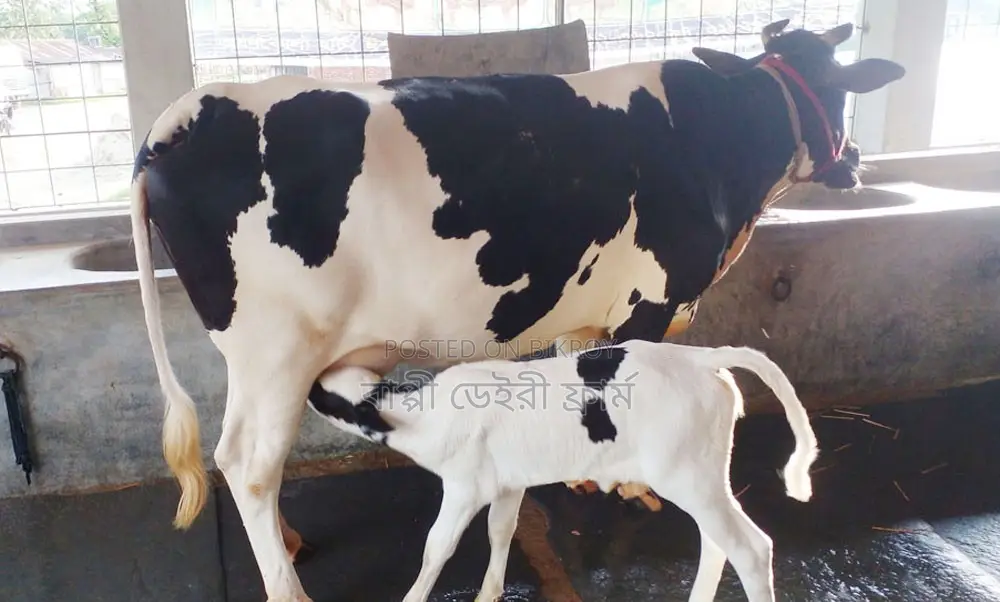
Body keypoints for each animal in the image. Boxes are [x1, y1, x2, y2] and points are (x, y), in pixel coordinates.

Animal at [310, 340, 818, 602]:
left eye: (329, 397)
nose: (309, 386)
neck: (421, 411)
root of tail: (699, 356)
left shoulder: (463, 486)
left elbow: (436, 548)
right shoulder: (508, 482)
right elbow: (501, 530)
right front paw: (489, 593)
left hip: (689, 477)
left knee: (751, 548)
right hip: (703, 477)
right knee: (718, 543)